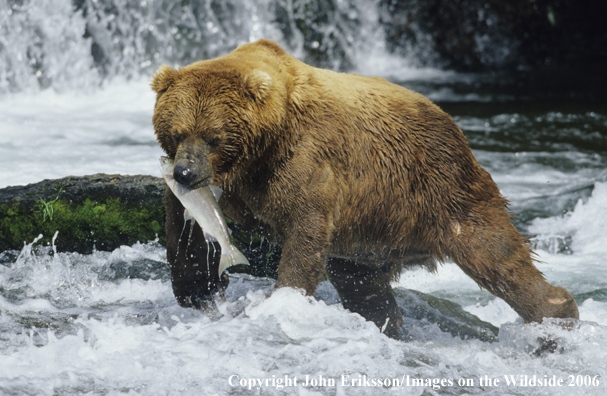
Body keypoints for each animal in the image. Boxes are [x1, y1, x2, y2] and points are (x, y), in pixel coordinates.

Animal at [152, 39, 580, 338]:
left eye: (214, 137)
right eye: (177, 132)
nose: (186, 173)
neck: (261, 148)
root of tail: (455, 128)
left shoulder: (306, 165)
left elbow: (304, 237)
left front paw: (283, 301)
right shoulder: (236, 188)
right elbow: (186, 225)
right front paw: (196, 289)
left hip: (440, 189)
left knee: (495, 254)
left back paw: (557, 316)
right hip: (370, 228)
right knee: (363, 284)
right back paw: (386, 322)